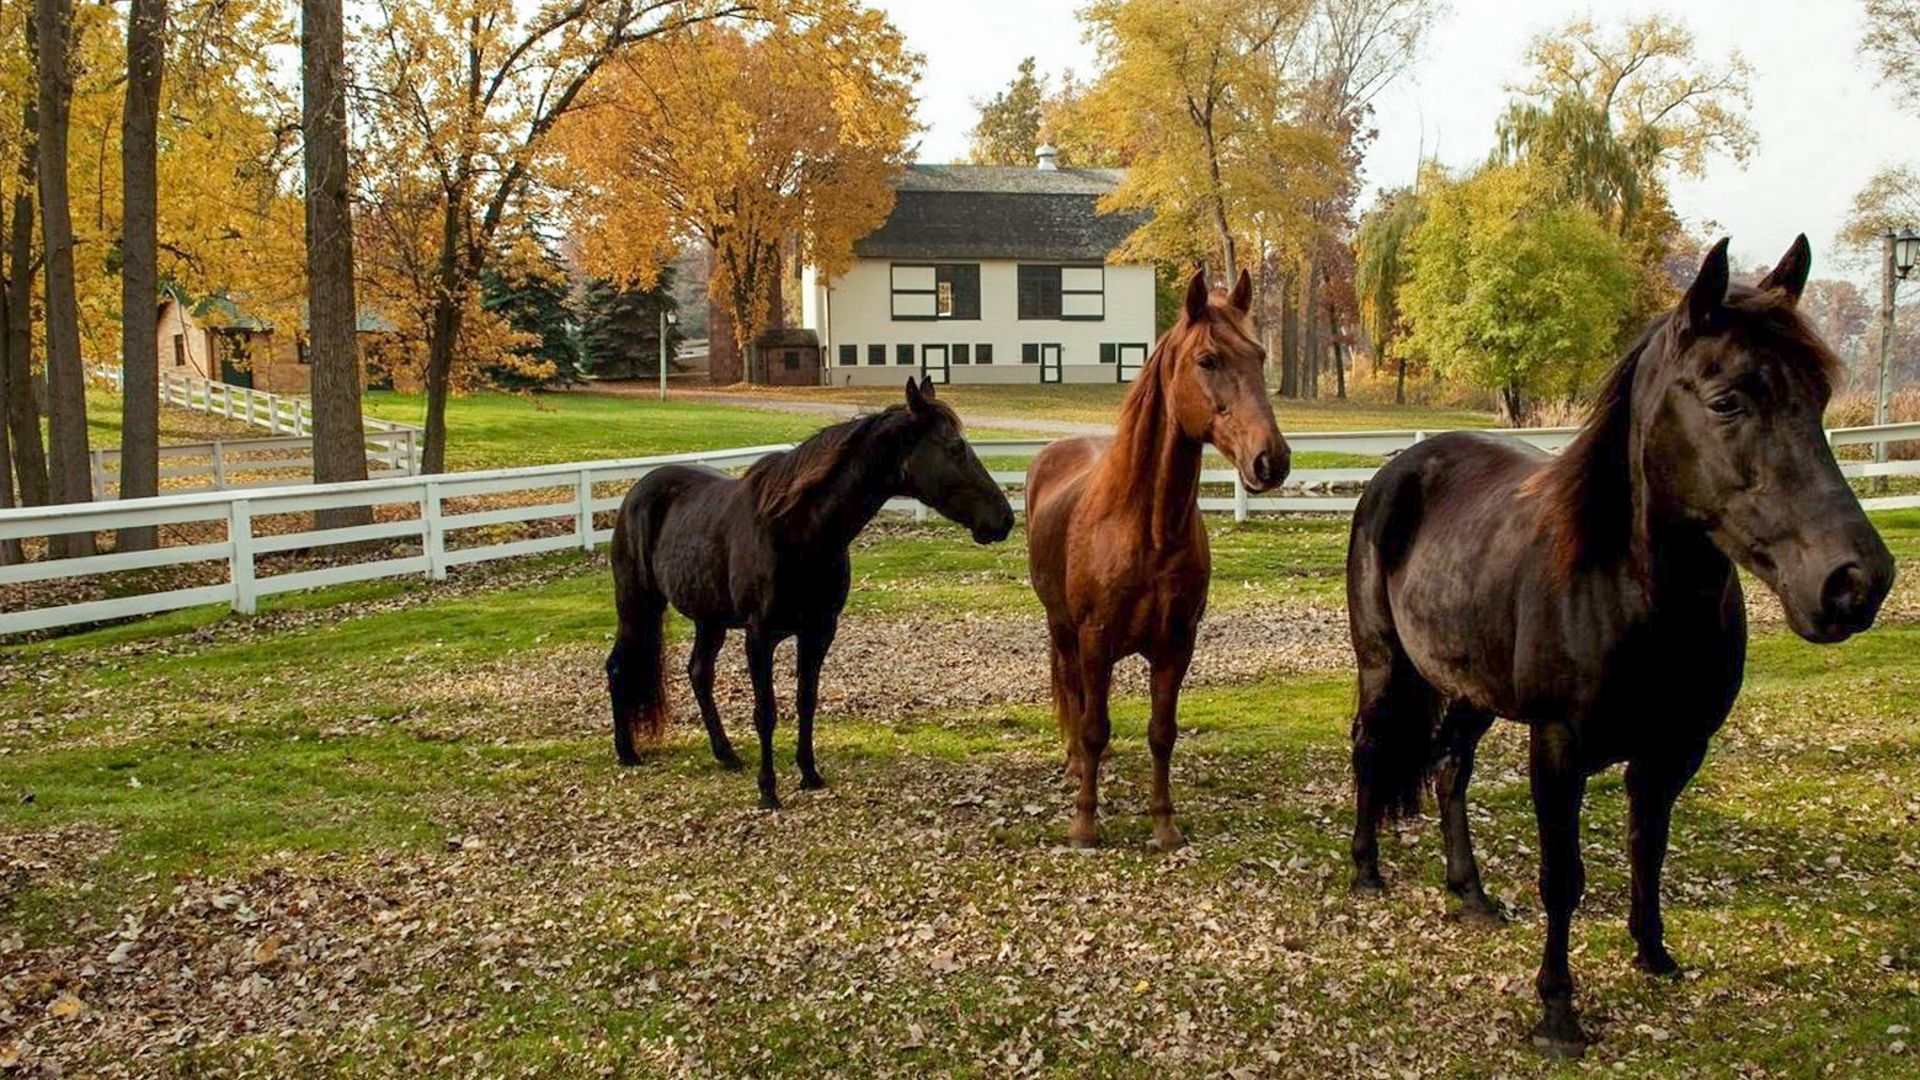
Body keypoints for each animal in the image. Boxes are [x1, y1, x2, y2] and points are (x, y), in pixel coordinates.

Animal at [607, 377, 1015, 809]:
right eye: (954, 448)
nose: (1004, 518)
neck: (796, 529)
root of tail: (637, 491)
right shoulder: (759, 636)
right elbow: (766, 711)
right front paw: (768, 789)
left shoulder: (819, 631)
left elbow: (806, 700)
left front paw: (809, 773)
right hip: (636, 604)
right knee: (618, 666)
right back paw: (627, 751)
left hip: (709, 619)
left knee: (699, 673)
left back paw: (726, 754)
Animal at [1026, 269, 1291, 850]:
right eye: (1208, 360)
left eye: (1260, 356)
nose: (1272, 460)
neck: (1146, 530)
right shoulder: (1095, 641)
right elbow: (1094, 726)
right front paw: (1085, 823)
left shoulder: (1177, 646)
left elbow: (1161, 733)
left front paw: (1164, 823)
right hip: (1062, 628)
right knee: (1074, 696)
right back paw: (1076, 767)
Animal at [1344, 236, 1896, 1056]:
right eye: (1728, 400)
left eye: (1821, 401)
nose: (1855, 582)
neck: (1628, 592)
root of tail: (1401, 469)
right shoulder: (1558, 747)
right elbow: (1563, 877)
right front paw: (1557, 1011)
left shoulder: (1675, 750)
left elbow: (1648, 845)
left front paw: (1653, 952)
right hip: (1382, 665)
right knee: (1372, 749)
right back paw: (1365, 872)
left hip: (1475, 689)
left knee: (1449, 769)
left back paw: (1471, 893)